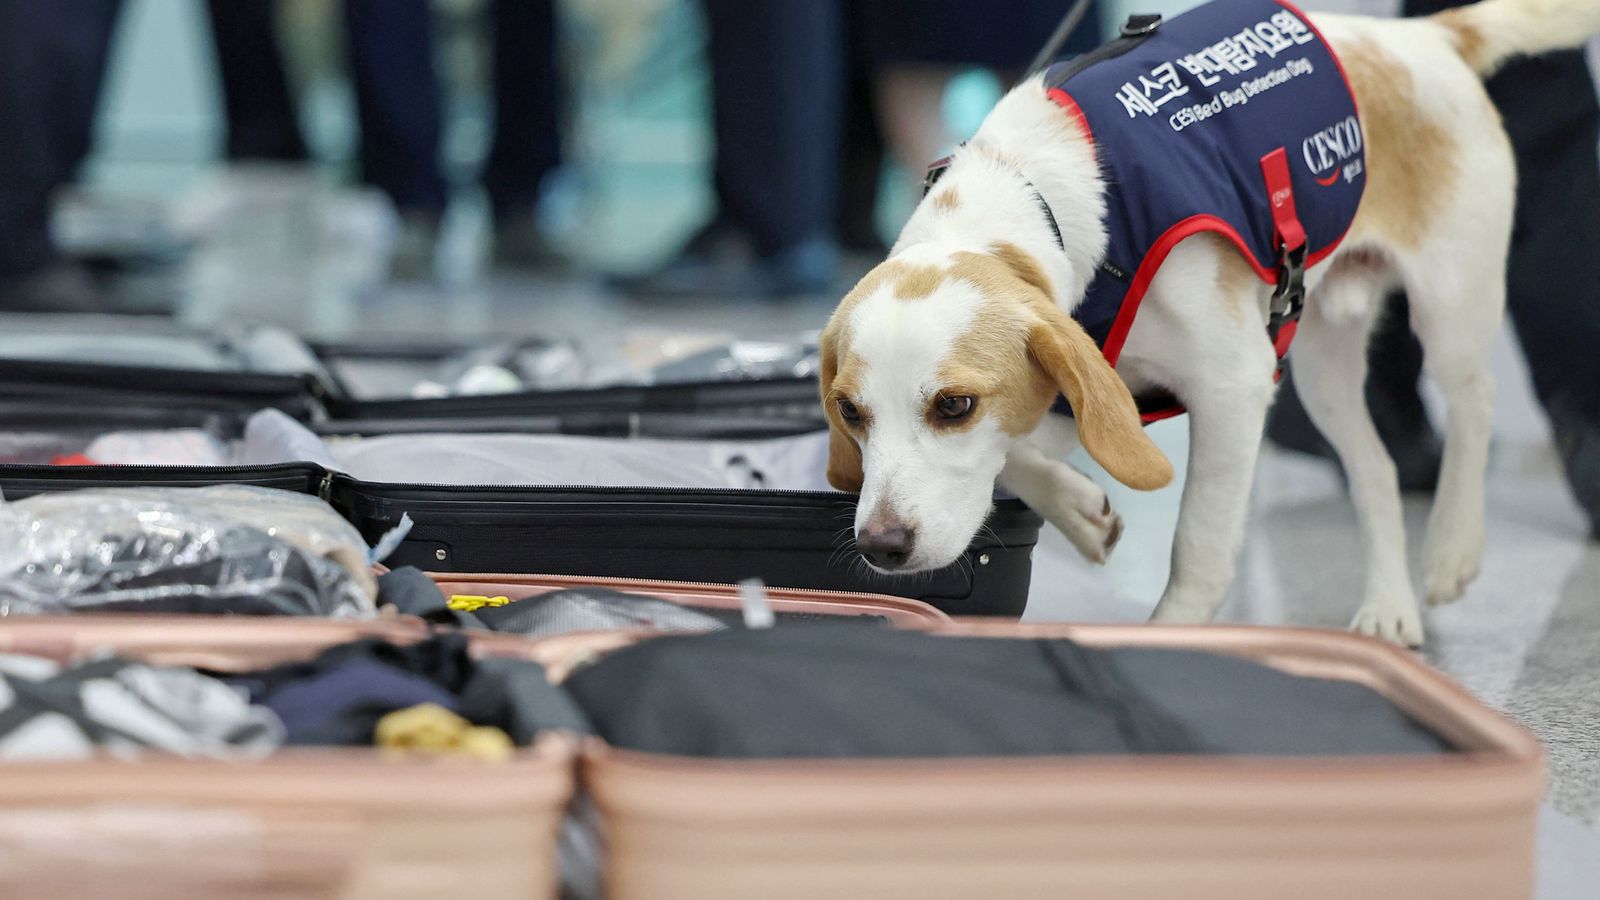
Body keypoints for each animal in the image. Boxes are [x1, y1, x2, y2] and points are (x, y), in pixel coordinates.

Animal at [819, 0, 1593, 640]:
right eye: (850, 413)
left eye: (955, 406)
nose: (881, 546)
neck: (1033, 193)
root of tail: (1424, 37)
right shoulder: (1083, 385)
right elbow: (1023, 453)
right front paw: (1080, 509)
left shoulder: (1233, 388)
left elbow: (1199, 543)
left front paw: (1172, 633)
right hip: (1320, 368)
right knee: (1375, 468)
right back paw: (1389, 607)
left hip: (1450, 305)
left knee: (1474, 404)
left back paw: (1454, 547)